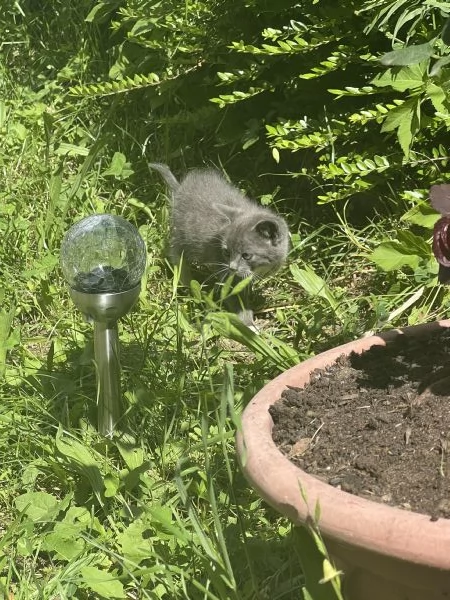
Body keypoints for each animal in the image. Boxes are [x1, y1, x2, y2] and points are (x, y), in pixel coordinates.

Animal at [149, 164, 290, 328]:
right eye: (226, 252)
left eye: (246, 255)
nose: (232, 267)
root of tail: (180, 189)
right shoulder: (226, 274)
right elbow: (234, 297)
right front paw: (248, 325)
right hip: (181, 235)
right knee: (176, 255)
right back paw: (186, 283)